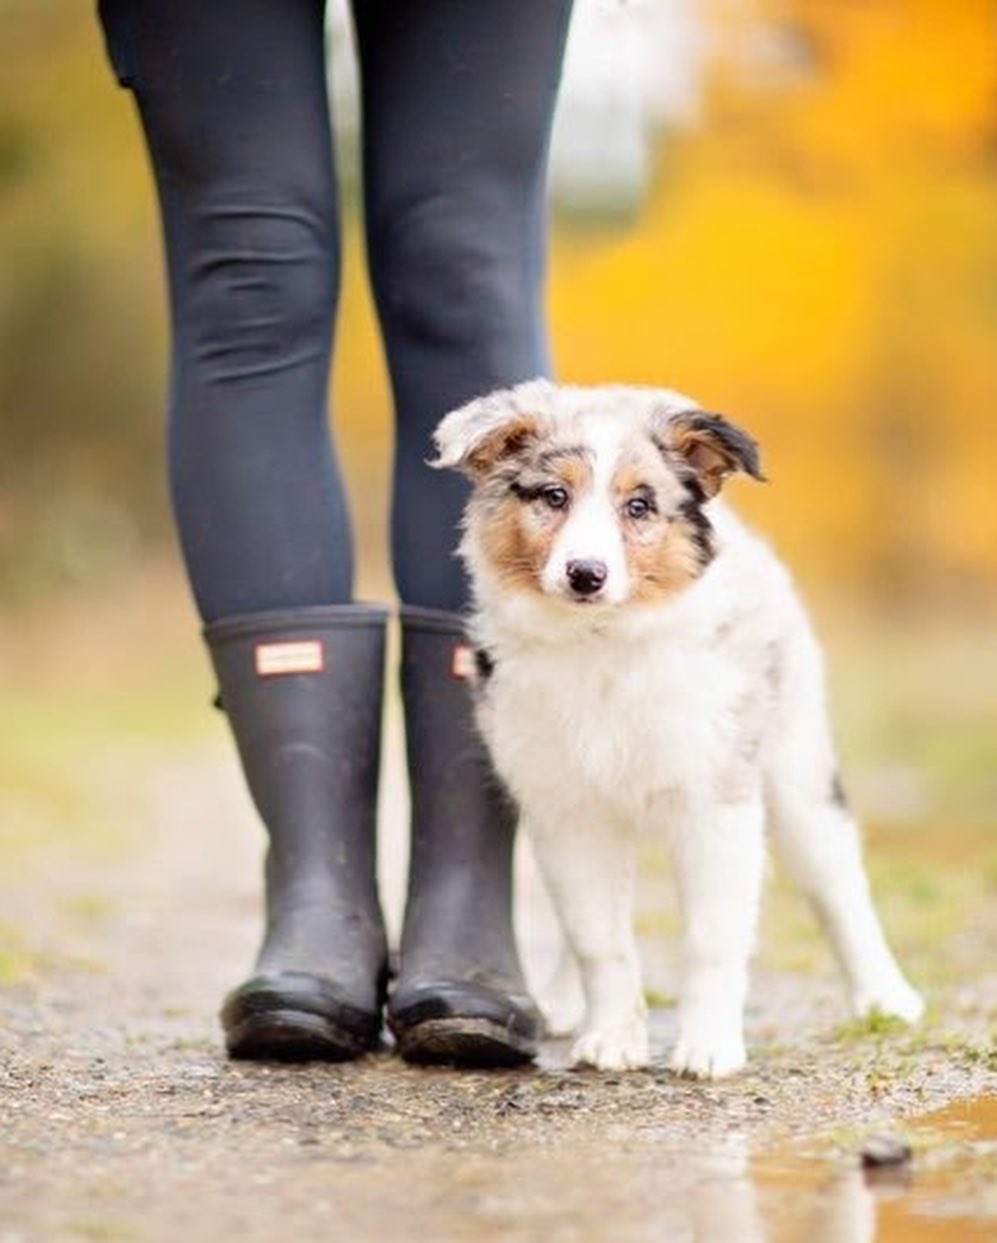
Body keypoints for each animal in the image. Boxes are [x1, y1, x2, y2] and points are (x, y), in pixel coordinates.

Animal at [430, 377, 919, 1078]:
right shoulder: (568, 810)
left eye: (639, 506)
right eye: (554, 497)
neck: (602, 643)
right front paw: (612, 1037)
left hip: (797, 768)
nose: (586, 574)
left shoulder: (716, 802)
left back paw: (886, 998)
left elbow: (711, 938)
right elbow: (597, 937)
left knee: (839, 886)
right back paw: (561, 1002)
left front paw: (709, 1047)